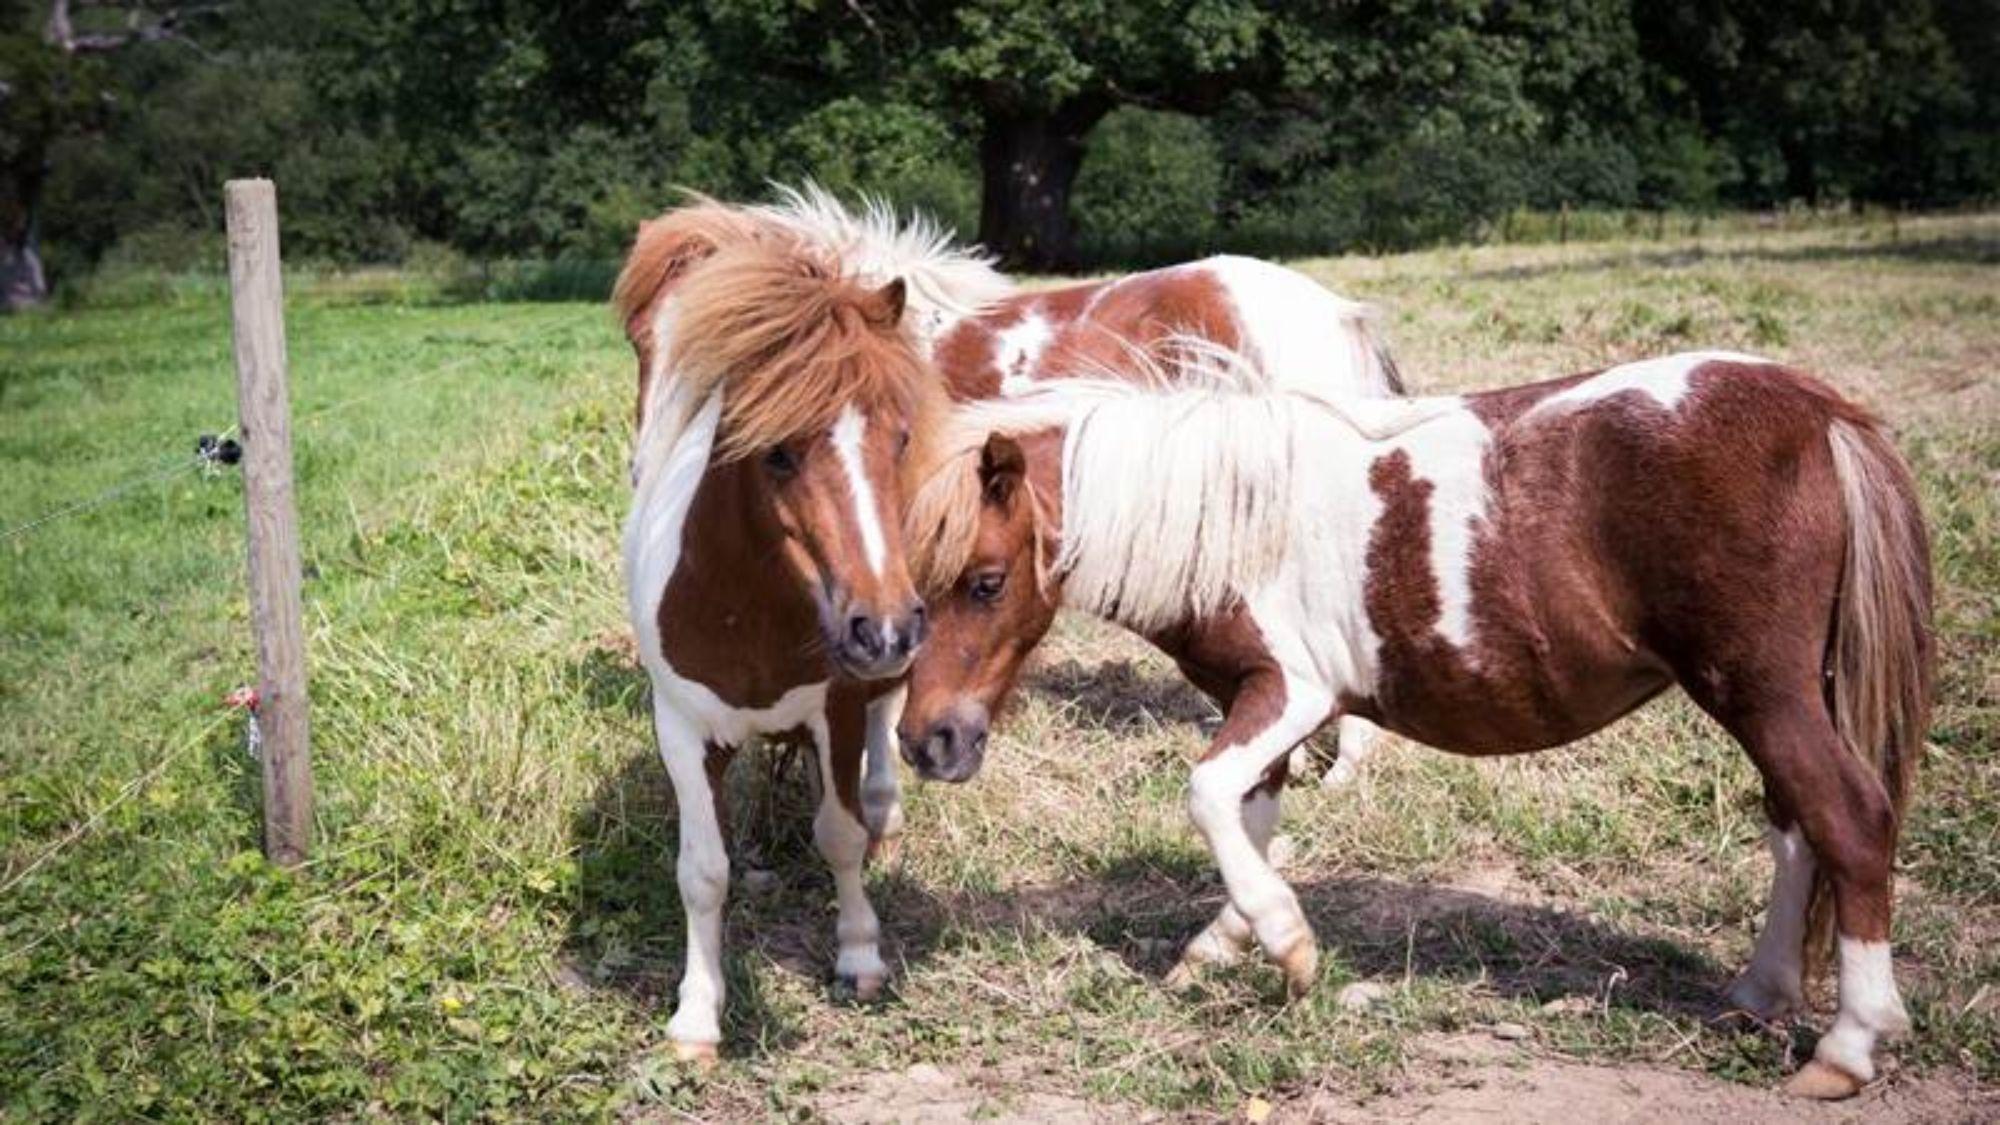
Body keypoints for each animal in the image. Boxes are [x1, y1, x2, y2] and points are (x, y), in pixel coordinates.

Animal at [900, 350, 1928, 1096]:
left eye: (984, 581)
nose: (926, 741)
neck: (1229, 513)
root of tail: (1819, 411)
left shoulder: (1292, 691)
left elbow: (1207, 795)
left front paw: (1286, 942)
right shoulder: (1254, 700)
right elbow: (1248, 814)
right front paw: (1224, 944)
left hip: (1762, 691)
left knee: (1848, 819)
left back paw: (1849, 1045)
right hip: (1774, 696)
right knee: (1796, 827)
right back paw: (1759, 993)